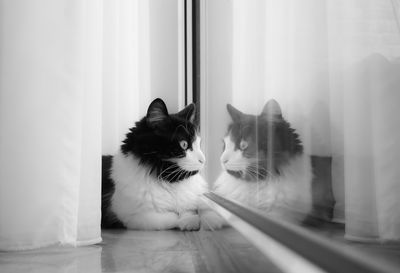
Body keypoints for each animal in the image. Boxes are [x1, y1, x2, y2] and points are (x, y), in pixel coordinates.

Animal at [101, 98, 208, 230]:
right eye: (184, 144)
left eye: (198, 144)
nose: (203, 160)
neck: (166, 181)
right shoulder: (131, 216)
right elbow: (170, 218)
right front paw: (182, 220)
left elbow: (189, 211)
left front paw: (189, 221)